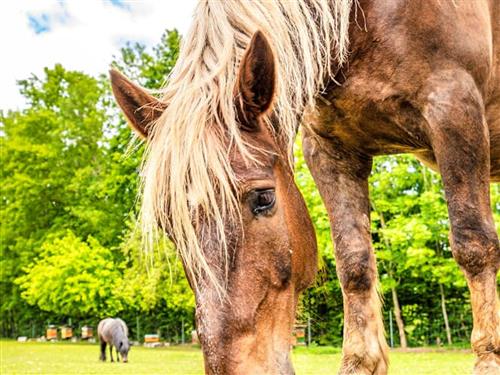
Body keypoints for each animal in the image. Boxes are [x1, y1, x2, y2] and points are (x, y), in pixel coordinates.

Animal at [111, 0, 498, 374]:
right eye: (169, 226)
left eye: (264, 198)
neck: (362, 18)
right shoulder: (330, 149)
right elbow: (354, 263)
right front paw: (360, 362)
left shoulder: (454, 109)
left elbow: (473, 244)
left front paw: (488, 358)